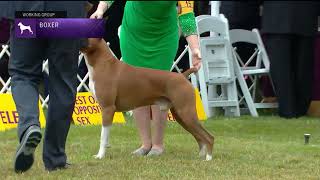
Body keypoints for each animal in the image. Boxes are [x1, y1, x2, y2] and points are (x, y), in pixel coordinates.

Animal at [80, 37, 215, 160]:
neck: (104, 64)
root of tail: (182, 76)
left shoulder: (107, 109)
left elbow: (103, 136)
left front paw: (100, 155)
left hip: (186, 114)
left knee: (208, 137)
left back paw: (208, 158)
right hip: (181, 116)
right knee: (199, 136)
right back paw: (201, 155)